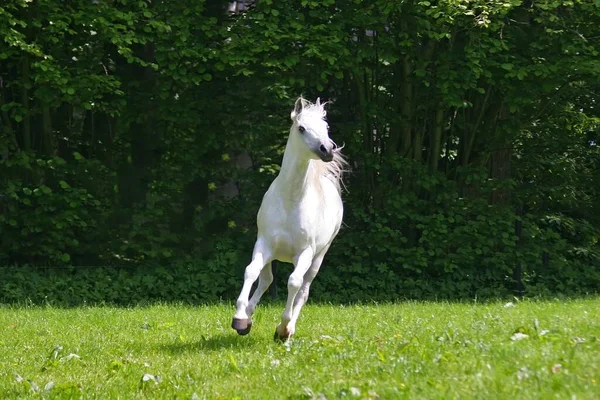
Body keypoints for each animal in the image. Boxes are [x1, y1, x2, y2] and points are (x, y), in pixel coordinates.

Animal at [234, 96, 346, 340]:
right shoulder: (264, 243)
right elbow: (251, 271)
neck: (290, 200)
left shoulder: (305, 252)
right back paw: (248, 316)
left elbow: (293, 283)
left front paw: (283, 328)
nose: (327, 149)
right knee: (266, 280)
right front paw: (240, 318)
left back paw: (288, 328)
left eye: (326, 127)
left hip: (318, 257)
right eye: (301, 128)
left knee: (303, 289)